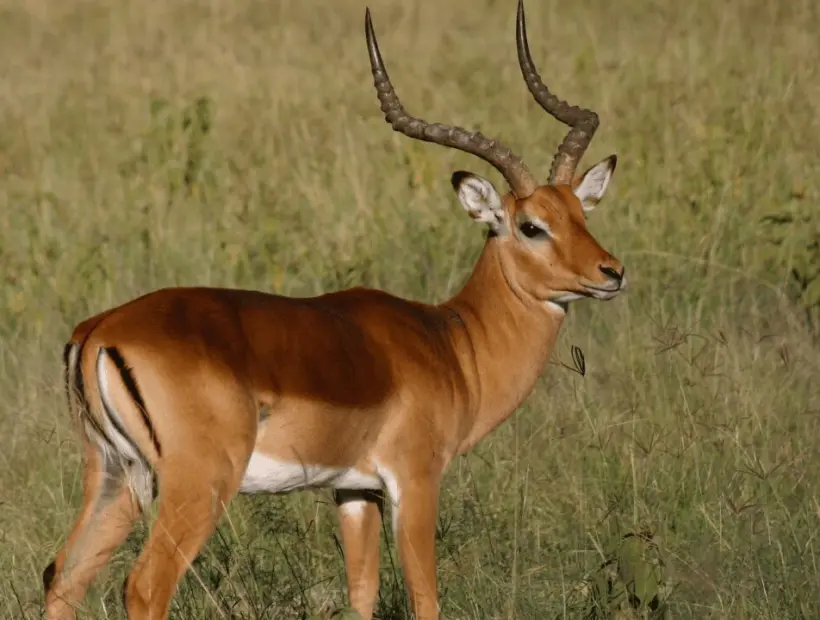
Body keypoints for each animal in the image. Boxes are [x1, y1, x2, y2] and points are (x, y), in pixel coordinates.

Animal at [43, 2, 626, 619]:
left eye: (580, 214)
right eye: (531, 226)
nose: (611, 273)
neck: (451, 343)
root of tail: (99, 330)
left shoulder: (353, 489)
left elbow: (361, 592)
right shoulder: (415, 481)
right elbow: (425, 596)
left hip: (115, 476)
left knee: (63, 576)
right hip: (194, 484)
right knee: (145, 584)